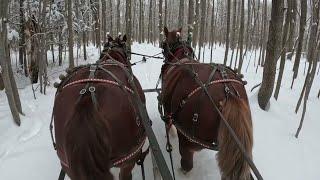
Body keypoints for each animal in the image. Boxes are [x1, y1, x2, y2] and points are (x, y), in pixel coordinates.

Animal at [160, 27, 255, 179]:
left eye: (164, 43)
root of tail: (228, 92)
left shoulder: (167, 109)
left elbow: (168, 124)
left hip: (187, 140)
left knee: (187, 164)